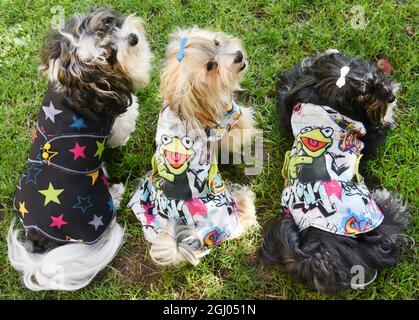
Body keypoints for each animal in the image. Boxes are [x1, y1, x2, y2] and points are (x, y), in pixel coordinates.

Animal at [260, 50, 414, 292]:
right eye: (363, 96)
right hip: (380, 212)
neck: (321, 102)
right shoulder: (368, 133)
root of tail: (315, 250)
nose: (390, 96)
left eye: (374, 77)